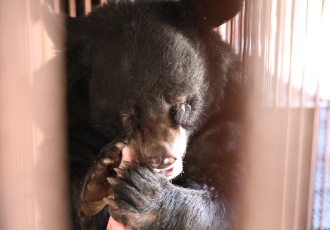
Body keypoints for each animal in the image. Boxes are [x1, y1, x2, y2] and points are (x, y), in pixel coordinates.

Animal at [53, 0, 245, 229]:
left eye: (179, 104)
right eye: (127, 115)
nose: (162, 158)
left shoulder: (224, 129)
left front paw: (143, 195)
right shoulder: (77, 130)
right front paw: (97, 177)